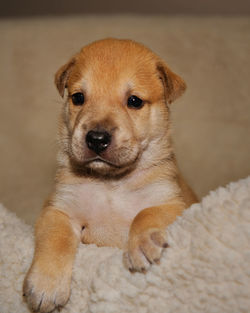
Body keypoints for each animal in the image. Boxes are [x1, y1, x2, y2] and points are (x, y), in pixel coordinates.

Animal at [23, 37, 197, 310]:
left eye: (134, 101)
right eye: (78, 98)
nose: (96, 138)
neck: (110, 184)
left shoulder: (175, 204)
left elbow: (146, 213)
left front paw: (143, 244)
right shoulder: (59, 210)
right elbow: (55, 238)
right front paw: (45, 285)